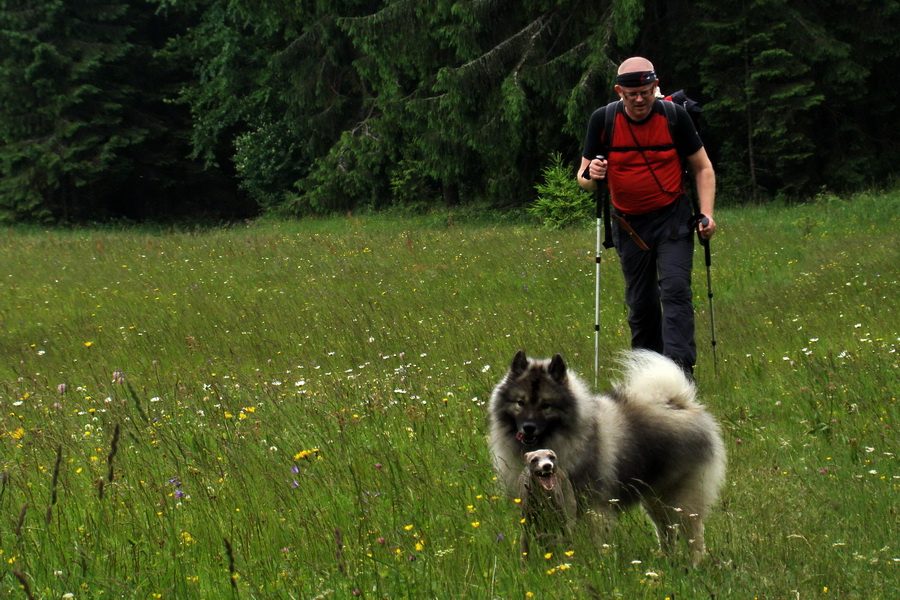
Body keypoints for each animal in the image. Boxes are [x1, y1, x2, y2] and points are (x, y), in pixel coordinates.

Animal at [488, 346, 728, 564]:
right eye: (520, 403)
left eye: (546, 405)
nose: (528, 427)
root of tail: (679, 404)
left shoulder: (592, 507)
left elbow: (593, 539)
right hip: (654, 498)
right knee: (666, 530)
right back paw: (667, 559)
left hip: (680, 497)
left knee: (693, 534)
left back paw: (693, 564)